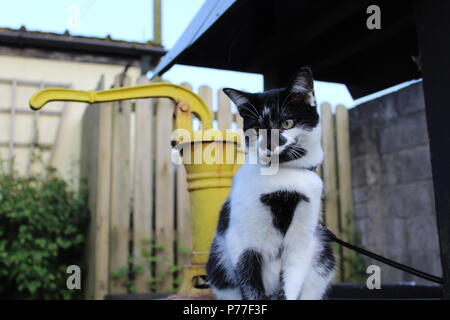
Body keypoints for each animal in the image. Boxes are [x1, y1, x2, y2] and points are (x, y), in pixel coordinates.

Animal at [206, 67, 336, 300]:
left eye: (287, 123)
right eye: (257, 129)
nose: (269, 143)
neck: (283, 177)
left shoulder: (302, 242)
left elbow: (291, 284)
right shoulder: (241, 240)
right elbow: (250, 286)